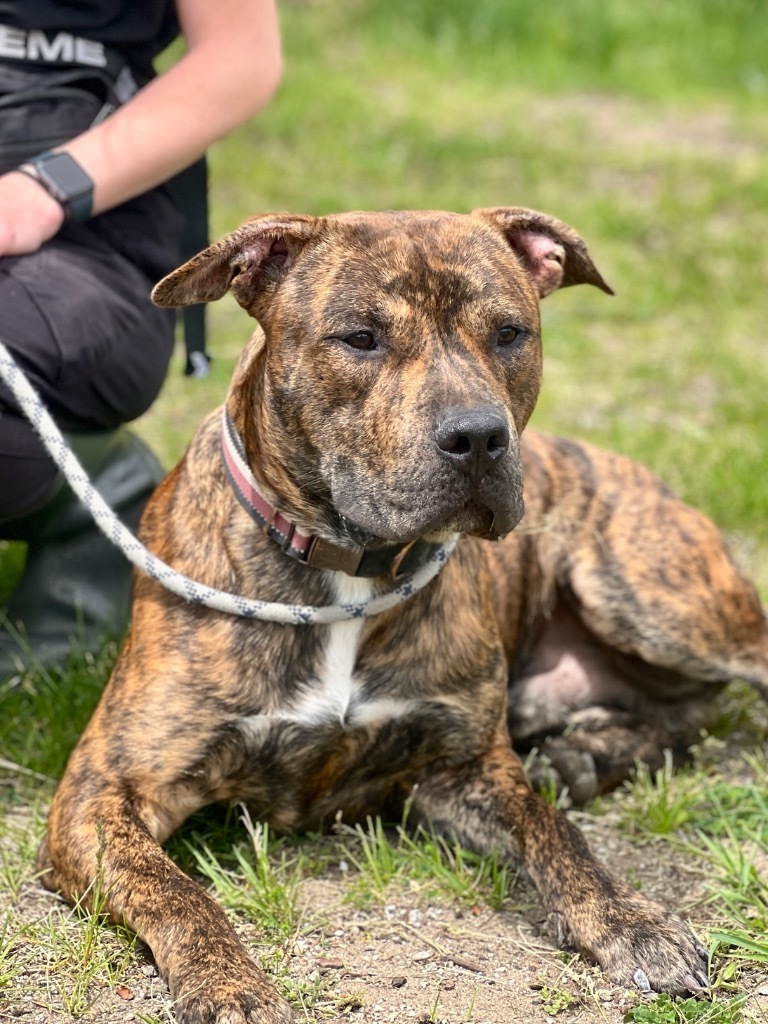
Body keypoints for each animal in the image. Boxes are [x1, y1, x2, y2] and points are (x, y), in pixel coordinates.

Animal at [37, 207, 768, 1024]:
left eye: (509, 333)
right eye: (361, 338)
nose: (478, 436)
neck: (348, 569)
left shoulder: (463, 766)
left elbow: (554, 830)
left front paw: (630, 920)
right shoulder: (102, 792)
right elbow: (177, 890)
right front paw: (229, 984)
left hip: (652, 594)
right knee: (685, 712)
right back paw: (585, 754)